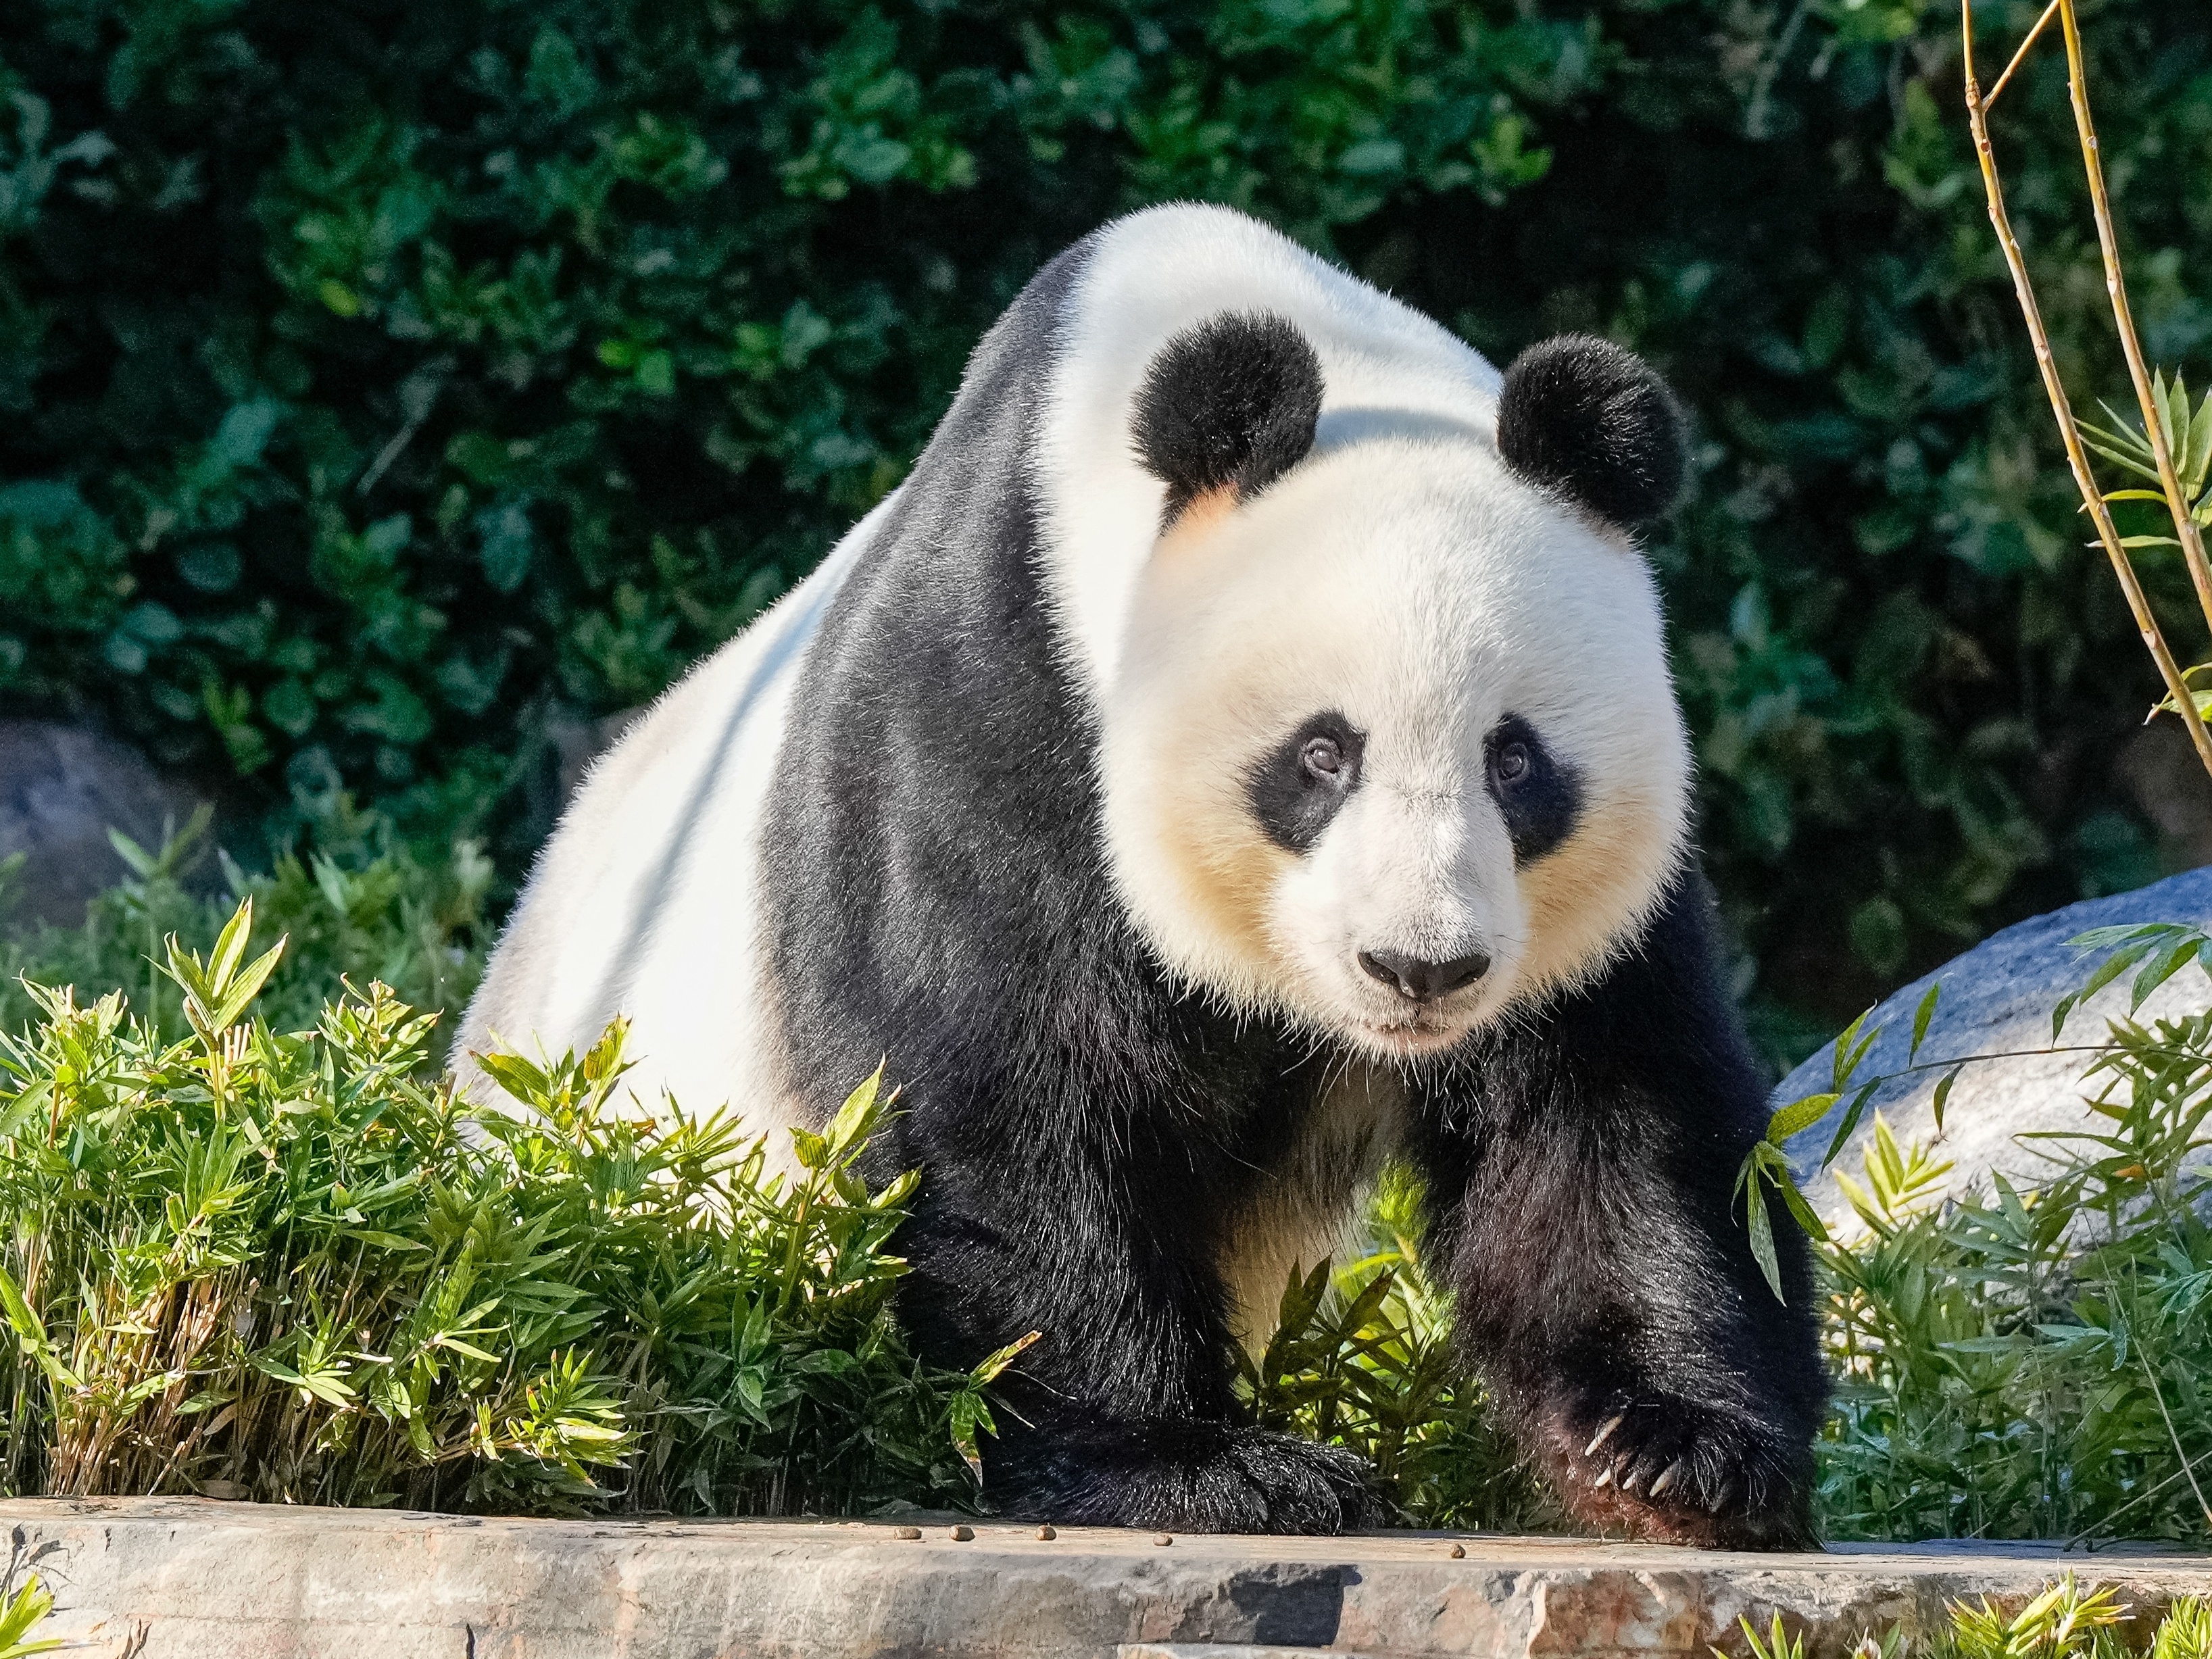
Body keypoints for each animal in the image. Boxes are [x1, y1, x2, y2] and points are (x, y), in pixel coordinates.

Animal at [459, 202, 1827, 1545]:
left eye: (1516, 760)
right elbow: (1005, 1099)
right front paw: (1201, 1466)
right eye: (1320, 755)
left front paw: (1667, 1449)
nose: (1419, 968)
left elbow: (1608, 1115)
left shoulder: (1583, 914)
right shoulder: (999, 703)